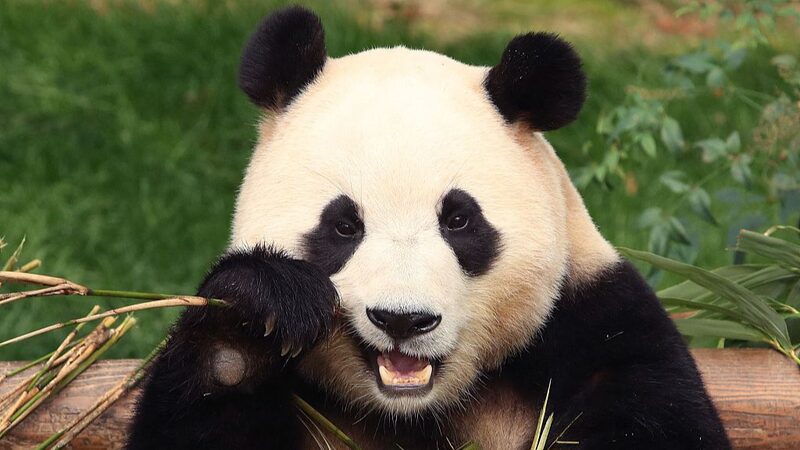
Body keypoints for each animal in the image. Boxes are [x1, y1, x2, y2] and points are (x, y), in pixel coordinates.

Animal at [127, 6, 730, 450]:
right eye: (343, 226)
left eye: (459, 220)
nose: (403, 320)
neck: (412, 409)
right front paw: (254, 317)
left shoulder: (597, 328)